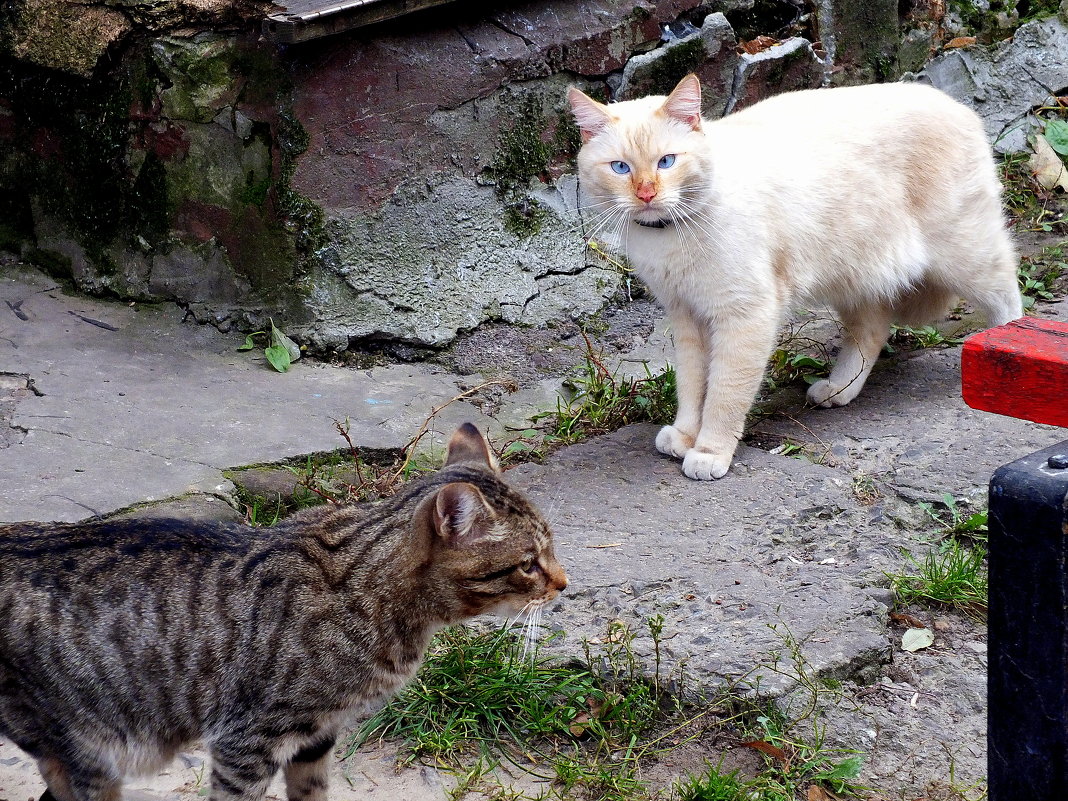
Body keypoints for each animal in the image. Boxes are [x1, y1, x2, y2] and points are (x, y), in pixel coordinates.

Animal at [0, 422, 568, 798]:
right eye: (528, 564)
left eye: (552, 549)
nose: (563, 584)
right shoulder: (247, 742)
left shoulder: (317, 735)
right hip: (89, 749)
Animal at [572, 73, 1021, 482]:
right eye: (620, 168)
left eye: (667, 161)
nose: (646, 194)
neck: (668, 233)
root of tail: (955, 103)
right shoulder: (687, 318)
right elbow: (691, 388)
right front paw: (685, 437)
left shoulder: (744, 317)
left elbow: (723, 395)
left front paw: (709, 452)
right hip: (855, 273)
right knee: (872, 332)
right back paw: (838, 391)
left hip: (961, 255)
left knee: (1008, 297)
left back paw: (1008, 370)